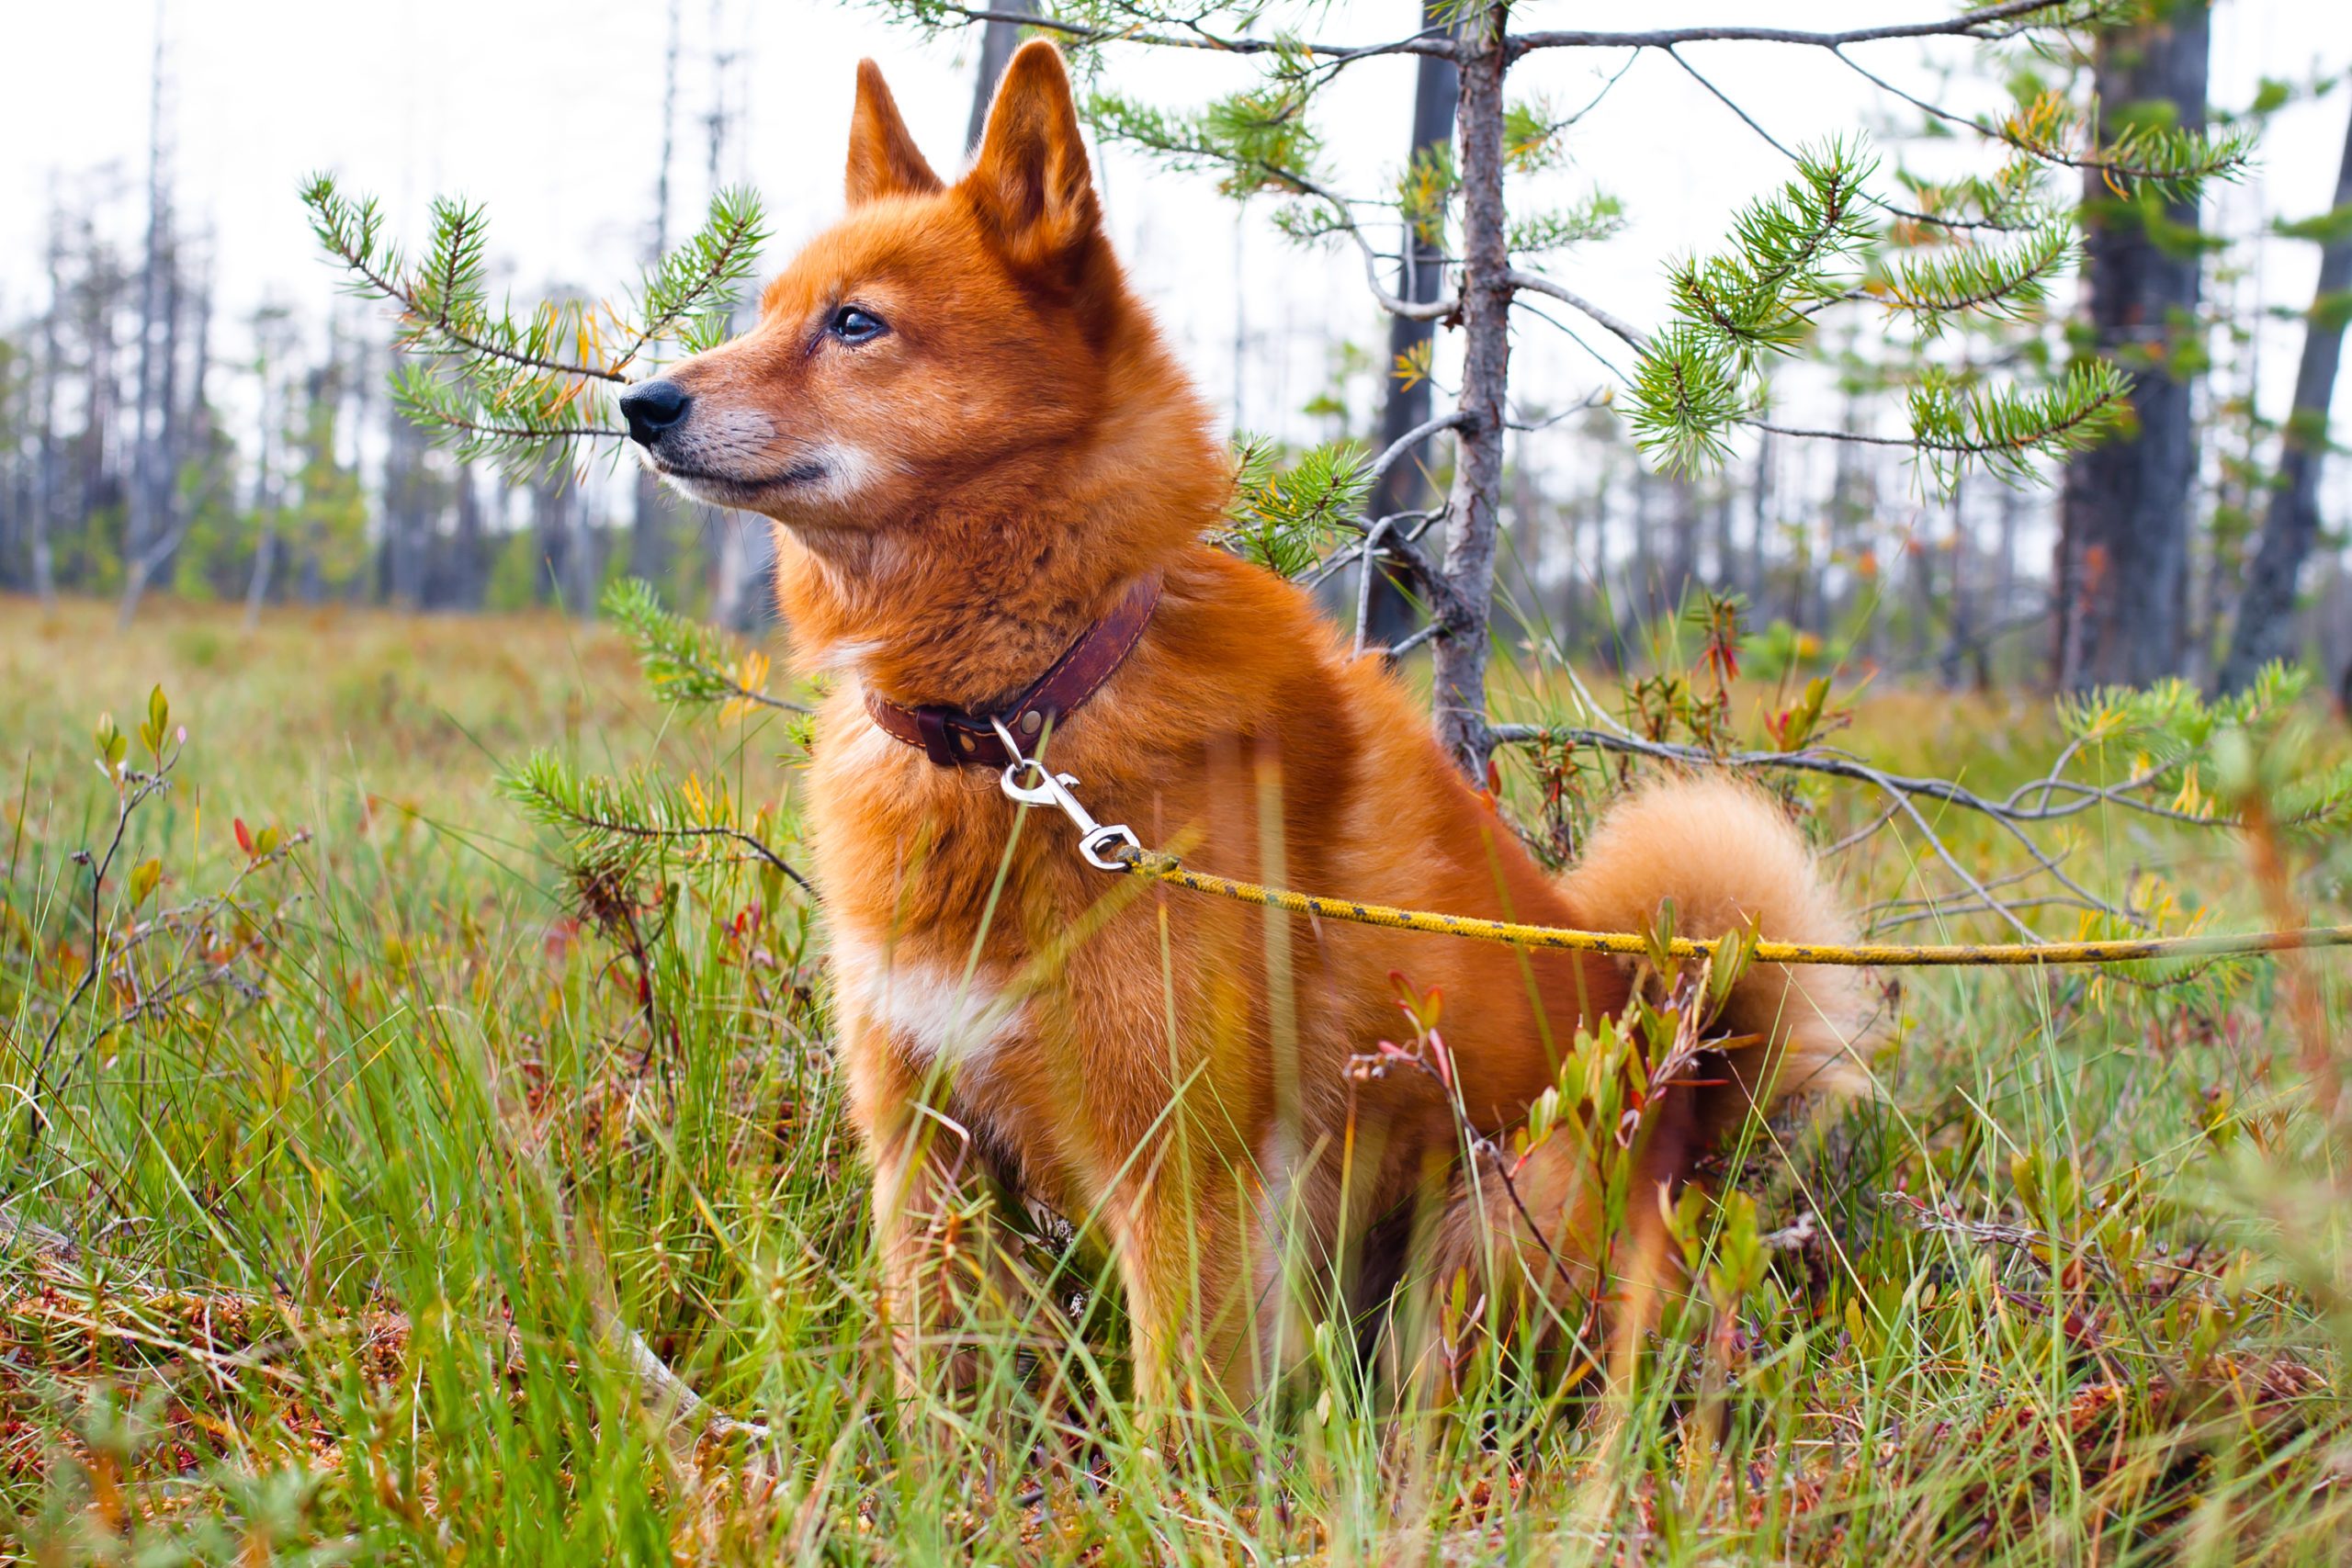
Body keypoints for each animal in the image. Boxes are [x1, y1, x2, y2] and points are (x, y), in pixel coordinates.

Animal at [620, 39, 1853, 1410]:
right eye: (769, 309)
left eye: (854, 324)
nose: (640, 401)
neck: (1019, 719)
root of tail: (1682, 1106)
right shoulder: (921, 1151)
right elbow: (936, 1399)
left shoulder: (1184, 1176)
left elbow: (1176, 1427)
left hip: (1489, 1224)